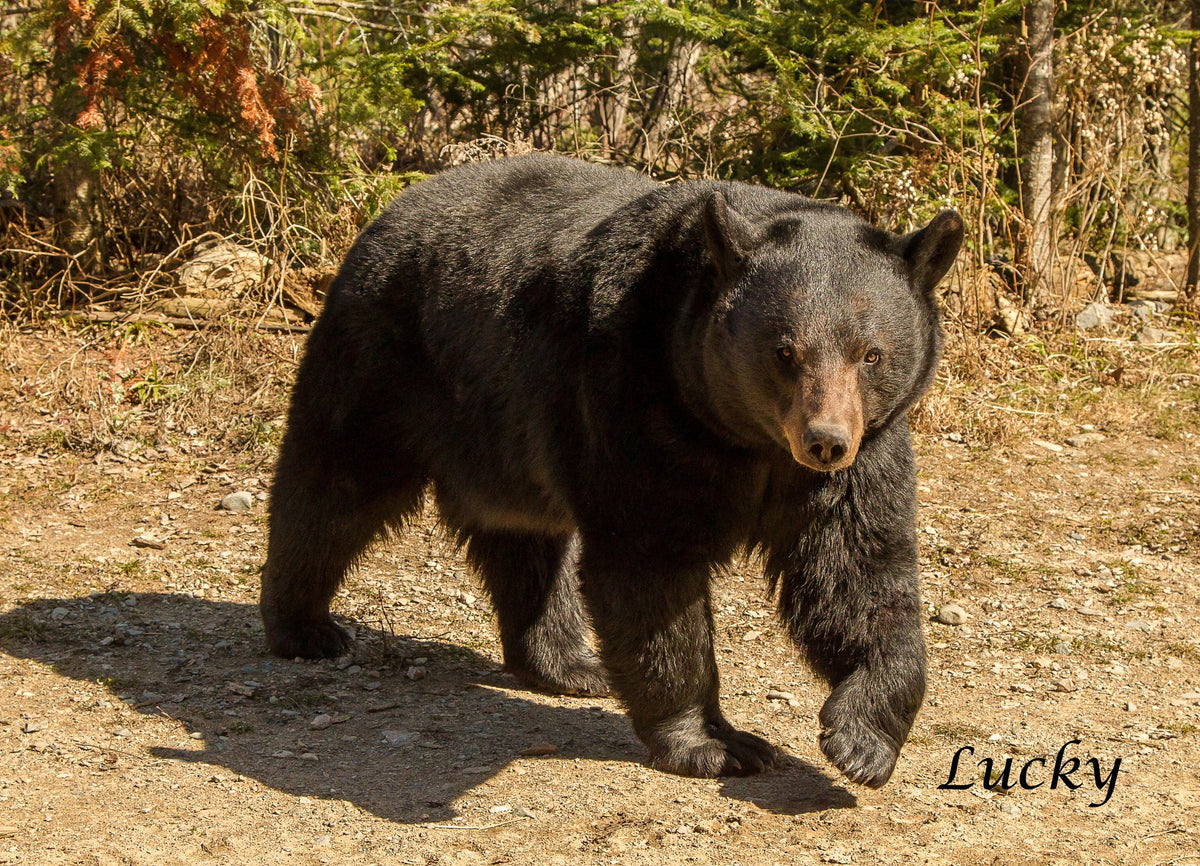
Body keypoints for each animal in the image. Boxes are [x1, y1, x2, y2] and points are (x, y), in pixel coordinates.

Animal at [260, 153, 963, 788]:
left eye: (870, 353)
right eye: (785, 351)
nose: (825, 441)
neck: (746, 438)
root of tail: (392, 209)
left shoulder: (860, 456)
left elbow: (856, 569)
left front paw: (862, 737)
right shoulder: (636, 398)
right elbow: (650, 565)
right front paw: (718, 743)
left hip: (503, 435)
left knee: (527, 539)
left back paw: (566, 663)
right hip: (383, 359)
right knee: (334, 485)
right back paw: (305, 626)